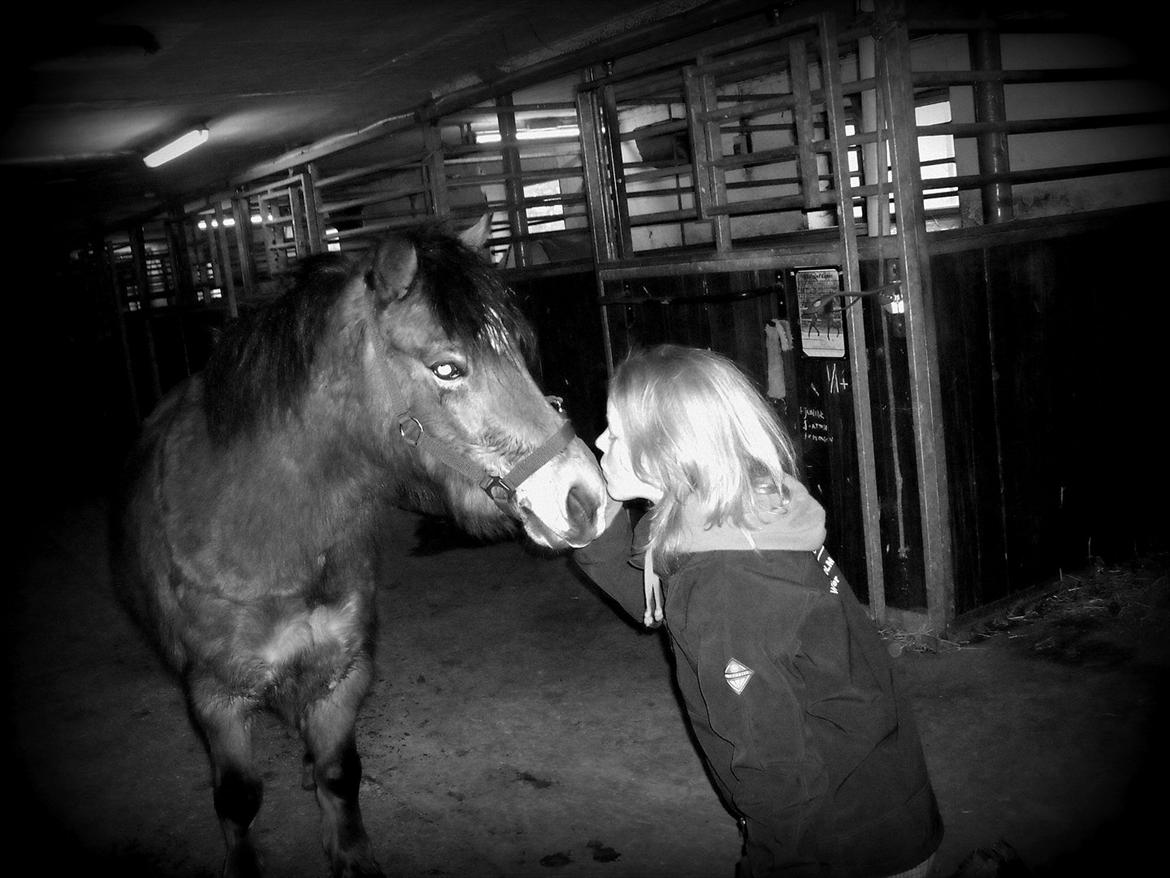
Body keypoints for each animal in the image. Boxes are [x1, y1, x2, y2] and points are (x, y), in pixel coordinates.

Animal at [111, 215, 603, 878]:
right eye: (448, 369)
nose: (587, 498)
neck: (266, 537)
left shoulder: (345, 675)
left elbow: (340, 776)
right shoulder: (216, 700)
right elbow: (238, 800)